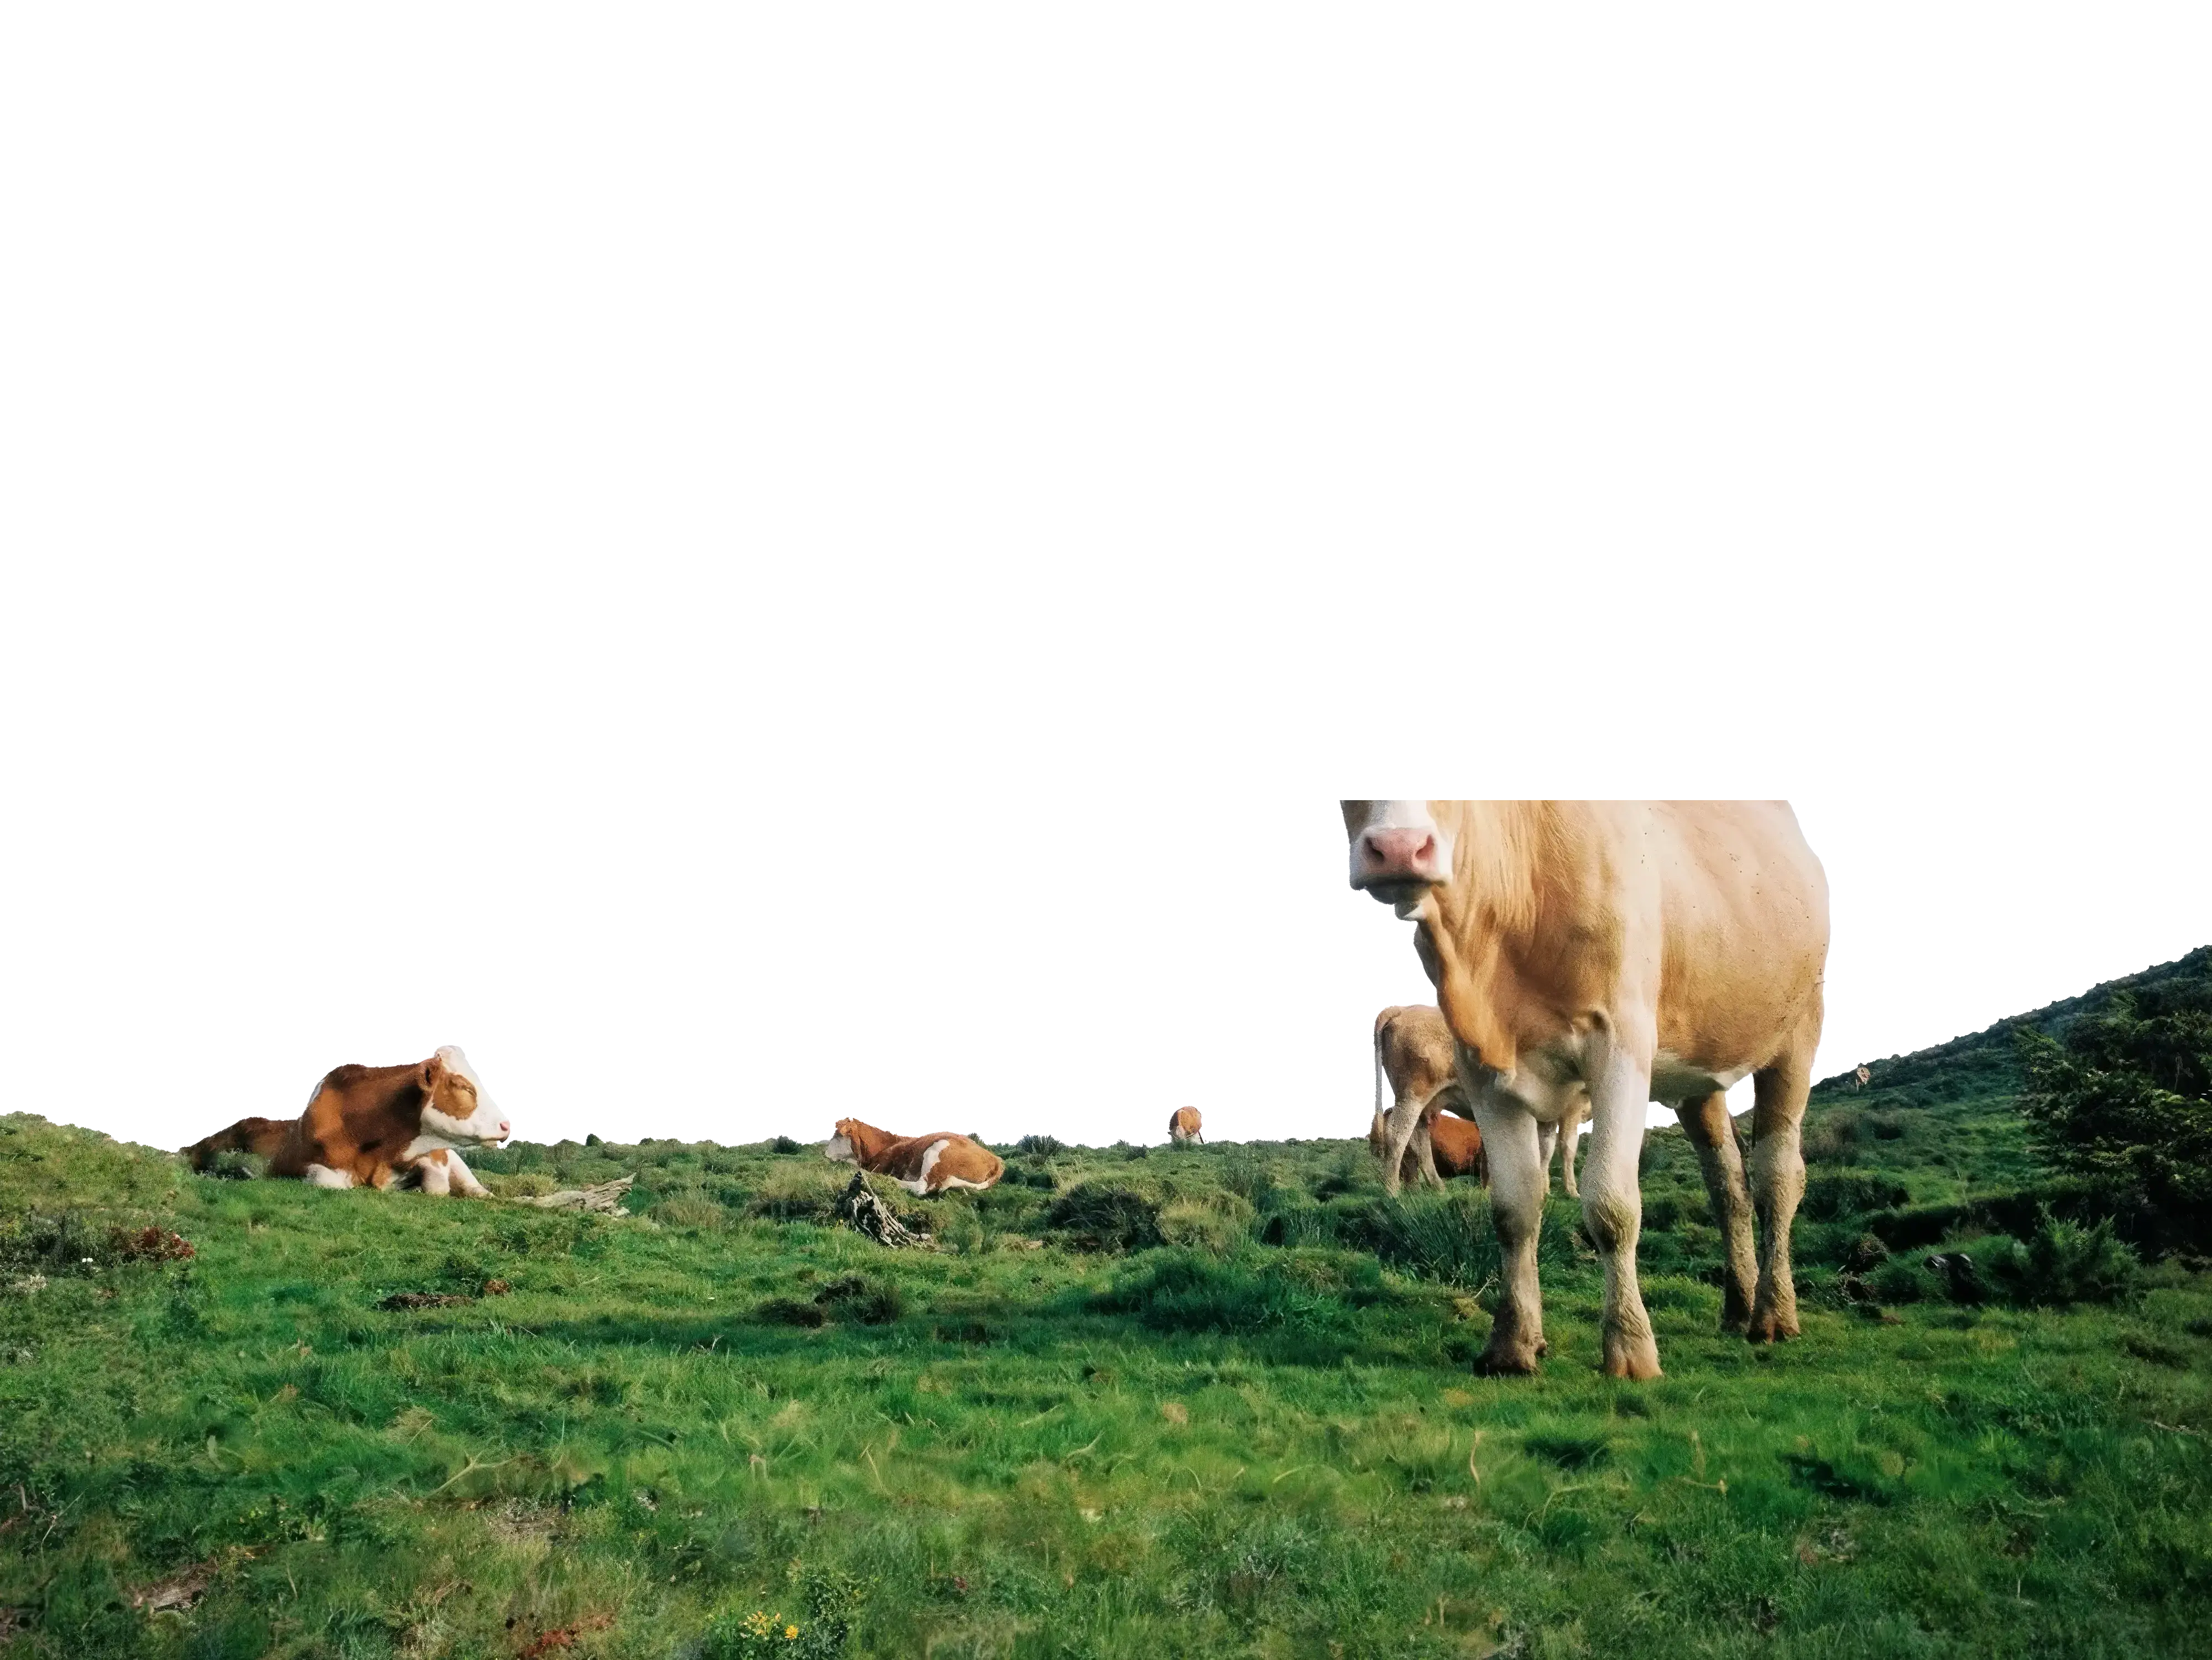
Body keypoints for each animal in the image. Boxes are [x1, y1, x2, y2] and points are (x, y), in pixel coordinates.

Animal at [183, 1045, 513, 1197]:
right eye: (464, 1087)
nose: (507, 1125)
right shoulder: (294, 1164)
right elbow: (328, 1181)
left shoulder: (433, 1156)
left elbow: (436, 1184)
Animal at [826, 1117, 1005, 1195]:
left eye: (837, 1136)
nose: (826, 1155)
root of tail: (996, 1160)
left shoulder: (881, 1165)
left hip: (938, 1151)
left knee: (920, 1187)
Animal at [1340, 797, 1831, 1381]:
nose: (1398, 848)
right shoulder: (1484, 1074)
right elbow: (1514, 1210)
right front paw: (1513, 1344)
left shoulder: (1618, 1050)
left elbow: (1611, 1205)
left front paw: (1630, 1346)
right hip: (1700, 1074)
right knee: (1728, 1184)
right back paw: (1739, 1305)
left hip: (1797, 1035)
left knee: (1777, 1176)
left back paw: (1773, 1314)